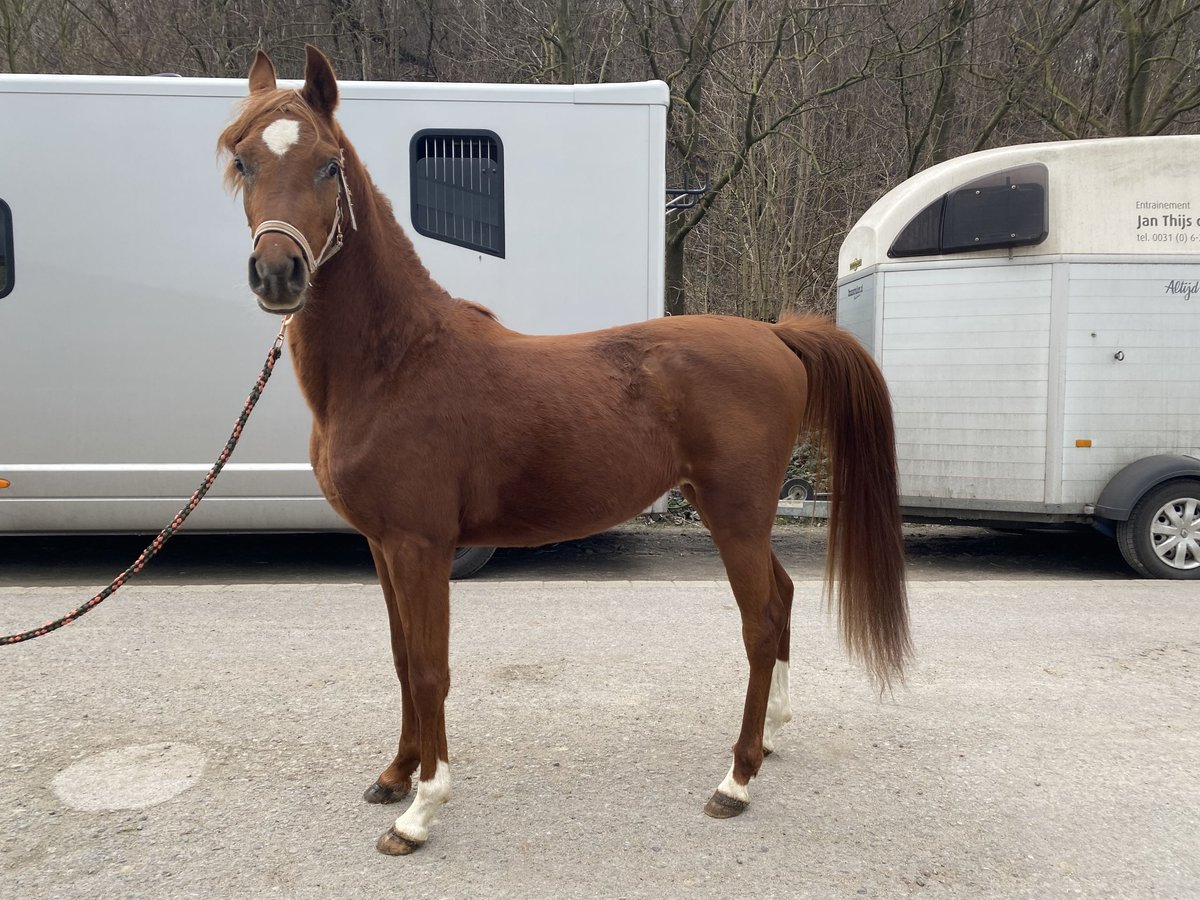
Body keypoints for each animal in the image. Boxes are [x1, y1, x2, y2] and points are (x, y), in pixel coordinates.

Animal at [220, 44, 907, 859]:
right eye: (241, 161)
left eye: (328, 165)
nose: (277, 274)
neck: (395, 363)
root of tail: (777, 335)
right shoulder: (383, 546)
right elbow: (400, 658)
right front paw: (394, 774)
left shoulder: (422, 546)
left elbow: (430, 668)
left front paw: (421, 810)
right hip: (736, 512)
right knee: (785, 599)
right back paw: (769, 738)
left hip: (736, 515)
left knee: (762, 620)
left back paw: (735, 780)